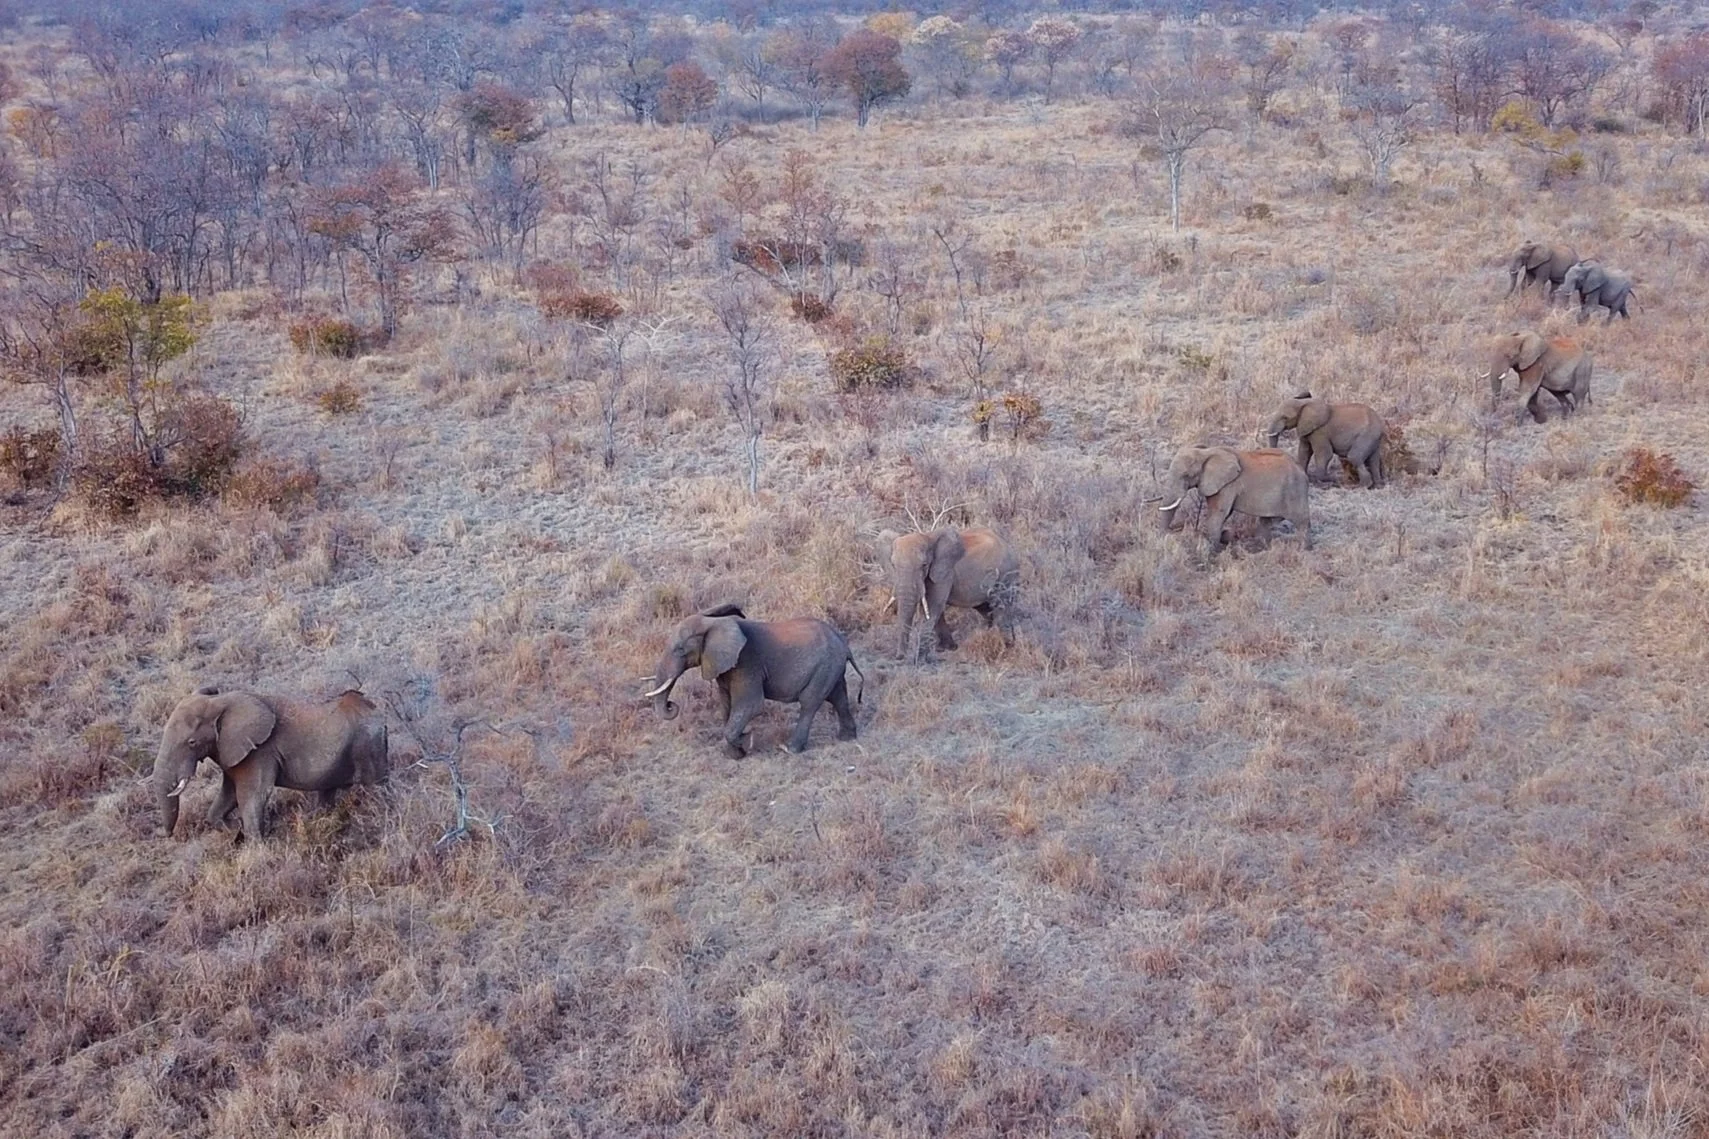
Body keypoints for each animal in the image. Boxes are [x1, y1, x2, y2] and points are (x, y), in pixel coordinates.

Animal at [153, 686, 389, 840]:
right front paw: (234, 830)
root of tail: (377, 709)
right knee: (327, 792)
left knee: (377, 787)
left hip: (369, 747)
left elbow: (252, 795)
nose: (167, 835)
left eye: (191, 742)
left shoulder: (260, 751)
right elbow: (230, 794)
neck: (219, 701)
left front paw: (255, 848)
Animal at [645, 605, 863, 758]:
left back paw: (790, 749)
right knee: (838, 697)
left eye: (680, 650)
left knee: (809, 702)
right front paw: (735, 754)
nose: (671, 705)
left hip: (824, 667)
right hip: (831, 667)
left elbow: (751, 705)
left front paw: (746, 742)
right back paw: (847, 738)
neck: (713, 623)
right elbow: (726, 705)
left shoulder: (747, 663)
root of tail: (844, 644)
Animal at [876, 527, 1020, 662]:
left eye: (924, 565)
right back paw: (990, 633)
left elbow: (933, 607)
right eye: (893, 565)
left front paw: (921, 657)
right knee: (986, 608)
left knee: (1001, 606)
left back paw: (1007, 643)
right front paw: (947, 648)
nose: (899, 657)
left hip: (1007, 574)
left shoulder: (944, 573)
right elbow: (932, 607)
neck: (928, 537)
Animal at [1158, 446, 1311, 554]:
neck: (1205, 452)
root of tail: (1302, 470)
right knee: (1266, 521)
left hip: (1295, 491)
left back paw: (1301, 548)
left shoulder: (1228, 485)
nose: (1166, 535)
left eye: (1186, 475)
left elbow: (1218, 513)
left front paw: (1211, 551)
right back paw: (1259, 547)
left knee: (1301, 521)